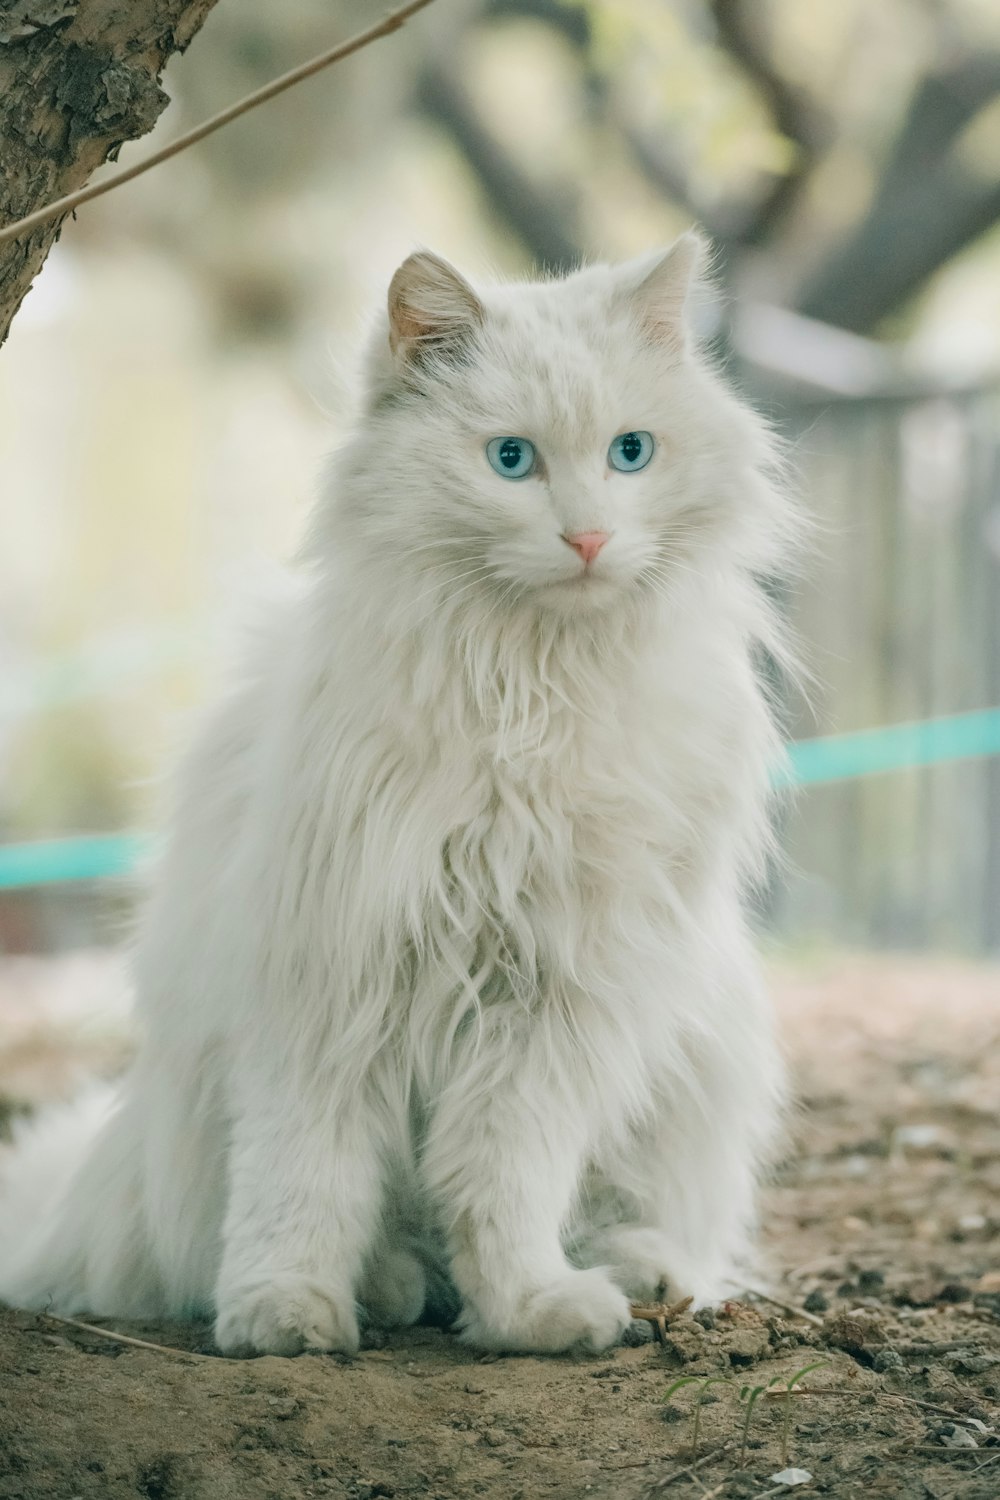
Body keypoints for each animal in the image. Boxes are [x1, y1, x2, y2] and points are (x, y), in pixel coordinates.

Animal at [0, 237, 797, 1362]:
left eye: (631, 453)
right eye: (510, 462)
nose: (590, 539)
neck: (528, 695)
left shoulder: (553, 1003)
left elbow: (501, 1181)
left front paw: (524, 1310)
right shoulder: (330, 980)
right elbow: (306, 1178)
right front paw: (283, 1315)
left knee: (611, 1218)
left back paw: (624, 1272)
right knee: (250, 1239)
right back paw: (387, 1289)